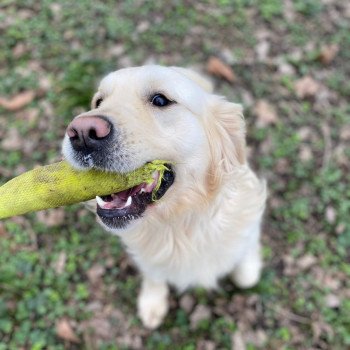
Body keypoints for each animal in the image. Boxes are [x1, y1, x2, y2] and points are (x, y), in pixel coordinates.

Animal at [61, 65, 266, 328]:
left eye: (160, 100)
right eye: (98, 101)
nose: (82, 132)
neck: (177, 224)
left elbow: (246, 274)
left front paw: (250, 265)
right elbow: (154, 275)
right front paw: (152, 302)